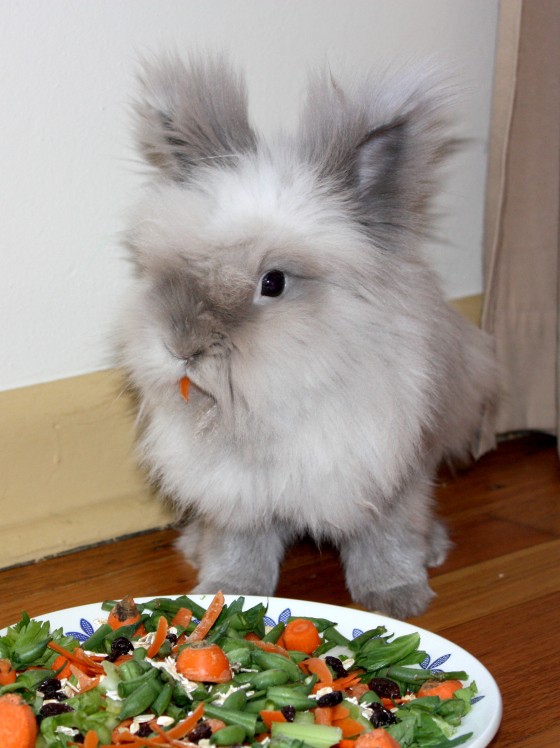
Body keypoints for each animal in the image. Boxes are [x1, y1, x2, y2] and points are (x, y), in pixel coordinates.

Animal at [119, 54, 498, 619]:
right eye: (171, 269)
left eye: (272, 283)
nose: (182, 347)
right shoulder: (237, 493)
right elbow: (239, 545)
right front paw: (224, 589)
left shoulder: (387, 474)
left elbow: (385, 538)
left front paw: (396, 598)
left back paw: (431, 549)